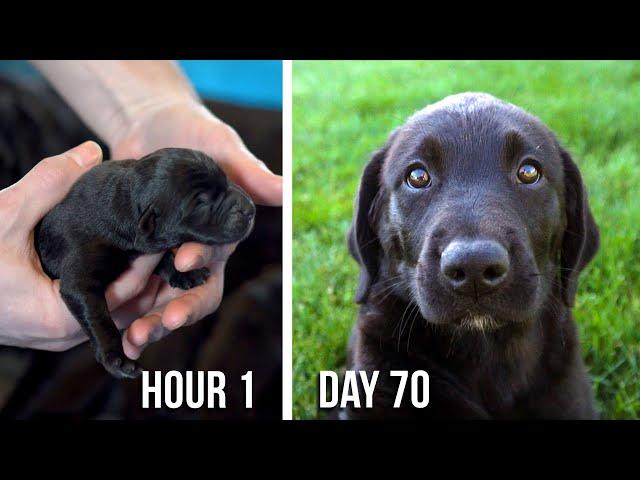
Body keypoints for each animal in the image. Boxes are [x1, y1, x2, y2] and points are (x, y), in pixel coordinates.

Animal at [35, 147, 255, 378]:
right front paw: (117, 359)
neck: (124, 199)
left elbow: (165, 258)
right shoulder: (81, 277)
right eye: (202, 203)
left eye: (225, 178)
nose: (250, 209)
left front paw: (185, 274)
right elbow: (97, 316)